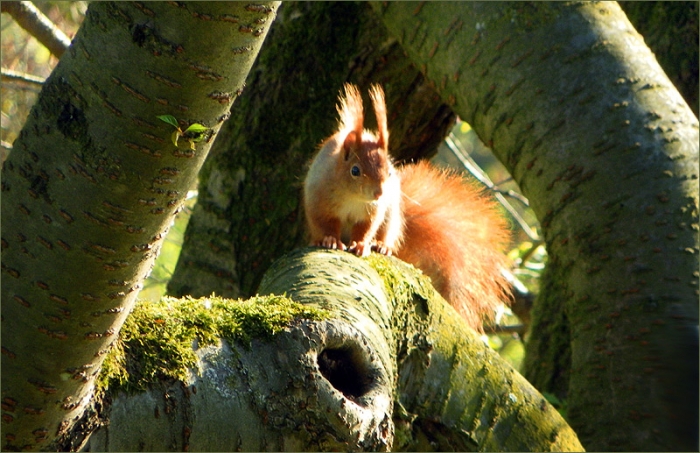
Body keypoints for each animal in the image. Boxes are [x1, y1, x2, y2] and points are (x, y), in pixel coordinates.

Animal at [303, 84, 511, 330]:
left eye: (389, 171)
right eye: (355, 170)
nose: (379, 193)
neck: (353, 198)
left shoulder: (374, 211)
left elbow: (366, 228)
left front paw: (361, 245)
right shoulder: (319, 198)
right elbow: (325, 222)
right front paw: (330, 240)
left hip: (391, 215)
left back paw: (382, 246)